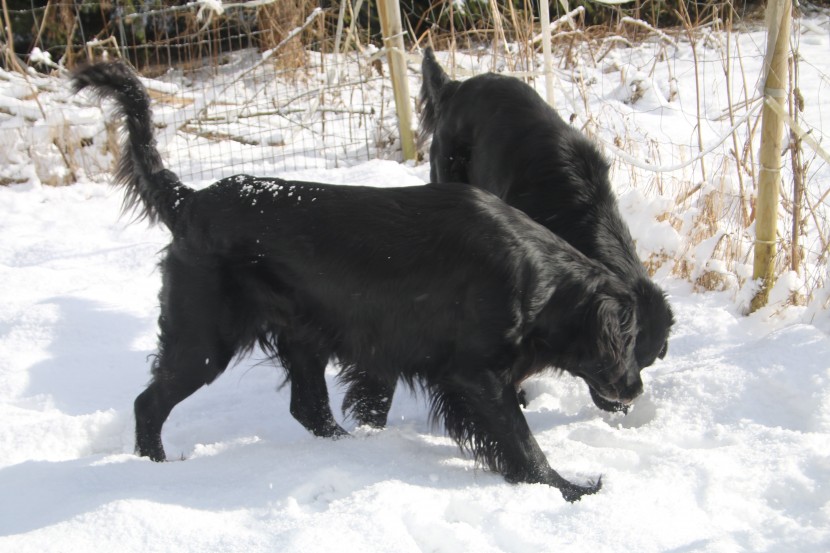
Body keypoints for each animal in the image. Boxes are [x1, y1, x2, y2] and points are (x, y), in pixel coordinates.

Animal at [71, 60, 648, 500]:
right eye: (630, 344)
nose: (635, 389)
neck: (538, 277)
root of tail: (189, 200)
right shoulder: (474, 374)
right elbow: (521, 443)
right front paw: (570, 489)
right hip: (204, 340)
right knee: (149, 403)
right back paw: (156, 467)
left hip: (301, 334)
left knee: (308, 409)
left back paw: (355, 449)